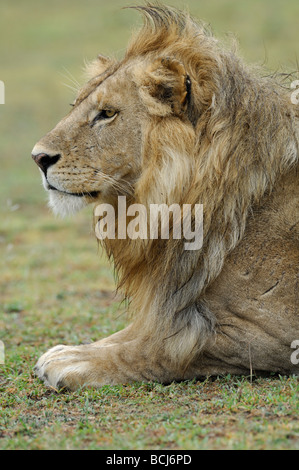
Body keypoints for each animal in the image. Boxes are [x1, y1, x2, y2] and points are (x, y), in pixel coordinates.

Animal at [32, 5, 299, 392]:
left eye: (107, 113)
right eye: (76, 107)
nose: (38, 158)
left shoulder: (268, 330)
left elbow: (159, 348)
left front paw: (75, 363)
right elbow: (138, 330)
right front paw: (71, 350)